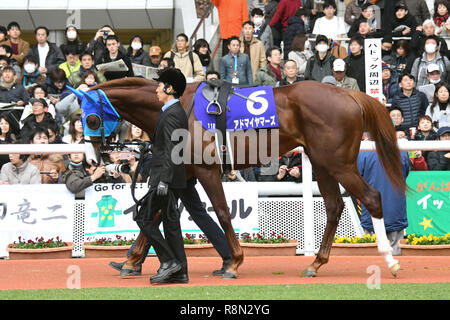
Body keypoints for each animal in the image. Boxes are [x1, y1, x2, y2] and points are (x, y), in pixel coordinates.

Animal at [79, 77, 406, 278]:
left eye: (91, 118)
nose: (94, 159)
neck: (181, 108)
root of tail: (348, 94)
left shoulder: (207, 170)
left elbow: (222, 212)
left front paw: (233, 262)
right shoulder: (183, 174)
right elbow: (157, 213)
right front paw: (131, 261)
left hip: (338, 163)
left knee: (372, 198)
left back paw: (390, 261)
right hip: (323, 163)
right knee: (335, 206)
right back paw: (316, 263)